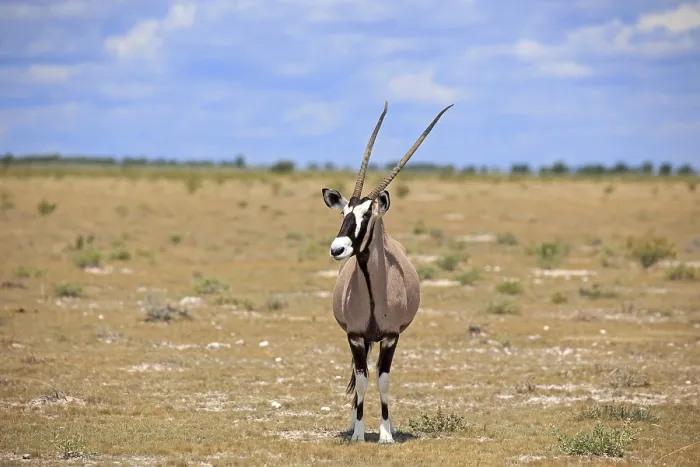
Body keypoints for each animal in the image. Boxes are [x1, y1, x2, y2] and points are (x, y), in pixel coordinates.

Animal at [320, 101, 453, 444]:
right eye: (344, 213)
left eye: (368, 215)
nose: (338, 249)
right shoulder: (355, 337)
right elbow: (362, 381)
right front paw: (357, 433)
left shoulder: (391, 337)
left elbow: (383, 380)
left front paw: (385, 434)